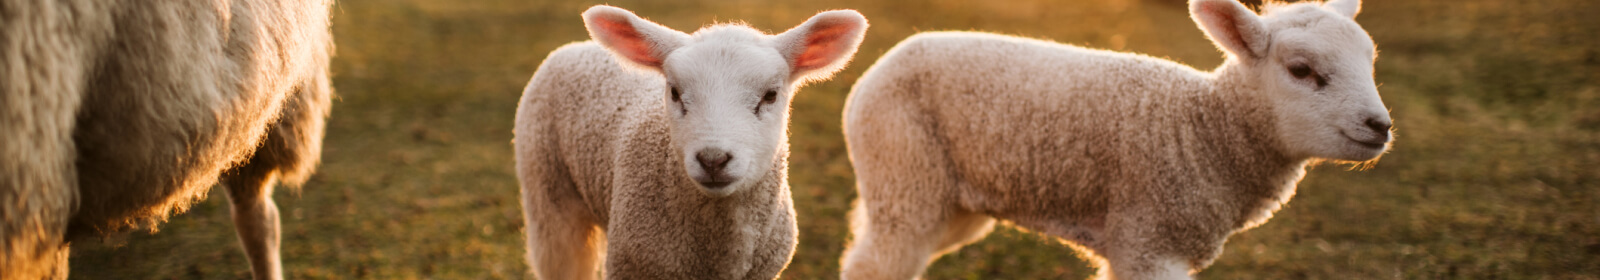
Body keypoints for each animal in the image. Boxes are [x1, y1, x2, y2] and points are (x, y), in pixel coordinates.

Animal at [508, 5, 864, 278]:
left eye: (771, 95)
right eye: (675, 92)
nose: (713, 159)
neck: (719, 252)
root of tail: (577, 46)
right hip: (548, 194)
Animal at [844, 0, 1395, 278]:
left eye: (1370, 63)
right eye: (1301, 70)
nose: (1380, 126)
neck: (1202, 130)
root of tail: (898, 50)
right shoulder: (1147, 239)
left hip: (951, 197)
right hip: (903, 170)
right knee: (874, 264)